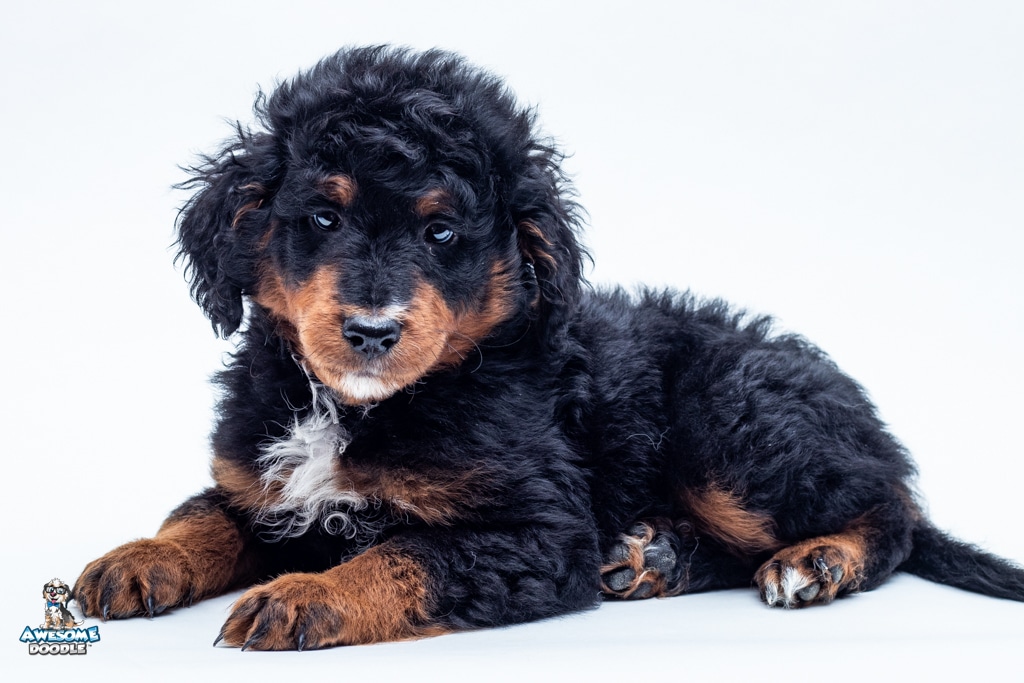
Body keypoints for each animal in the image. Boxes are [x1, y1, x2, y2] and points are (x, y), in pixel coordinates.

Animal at [73, 46, 1024, 650]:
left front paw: (307, 593)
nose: (372, 331)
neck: (352, 407)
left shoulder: (540, 529)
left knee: (891, 509)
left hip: (734, 427)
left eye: (443, 233)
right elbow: (203, 512)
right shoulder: (261, 484)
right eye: (321, 217)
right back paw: (654, 557)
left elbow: (408, 553)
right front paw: (139, 557)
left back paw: (815, 560)